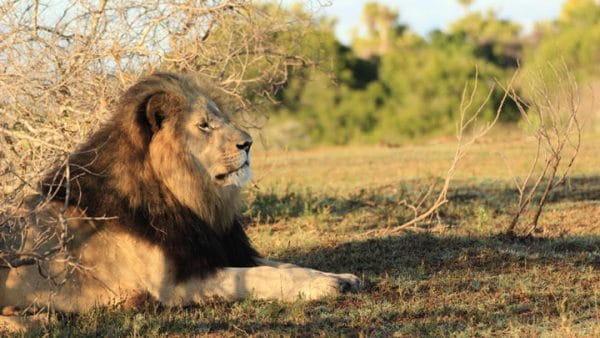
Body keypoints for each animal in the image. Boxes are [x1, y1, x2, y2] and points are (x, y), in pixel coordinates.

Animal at [0, 73, 358, 330]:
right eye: (204, 125)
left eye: (220, 119)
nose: (248, 144)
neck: (190, 199)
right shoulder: (174, 284)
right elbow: (265, 277)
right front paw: (324, 287)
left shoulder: (214, 250)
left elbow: (285, 266)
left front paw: (339, 278)